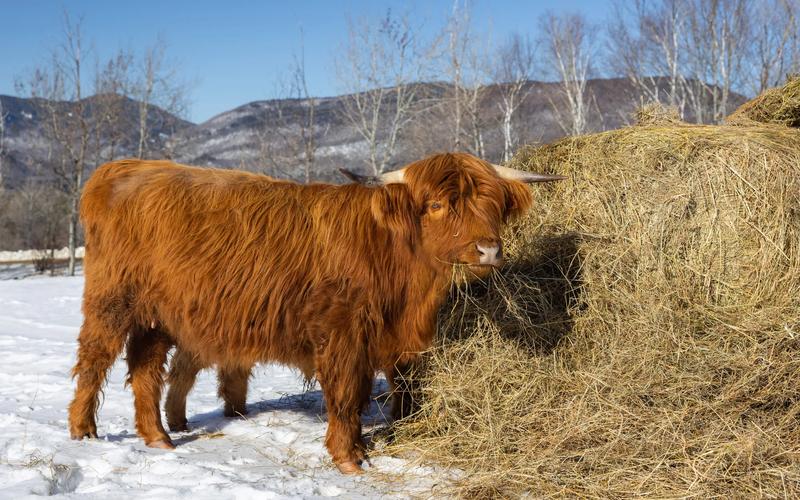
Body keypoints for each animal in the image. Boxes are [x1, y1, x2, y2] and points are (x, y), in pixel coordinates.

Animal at [67, 152, 564, 474]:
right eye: (438, 205)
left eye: (493, 203)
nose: (488, 250)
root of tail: (125, 168)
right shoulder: (343, 333)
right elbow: (344, 396)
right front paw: (348, 458)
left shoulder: (388, 339)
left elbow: (382, 390)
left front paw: (379, 439)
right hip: (111, 301)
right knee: (94, 360)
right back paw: (83, 430)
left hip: (158, 317)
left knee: (147, 370)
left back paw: (158, 437)